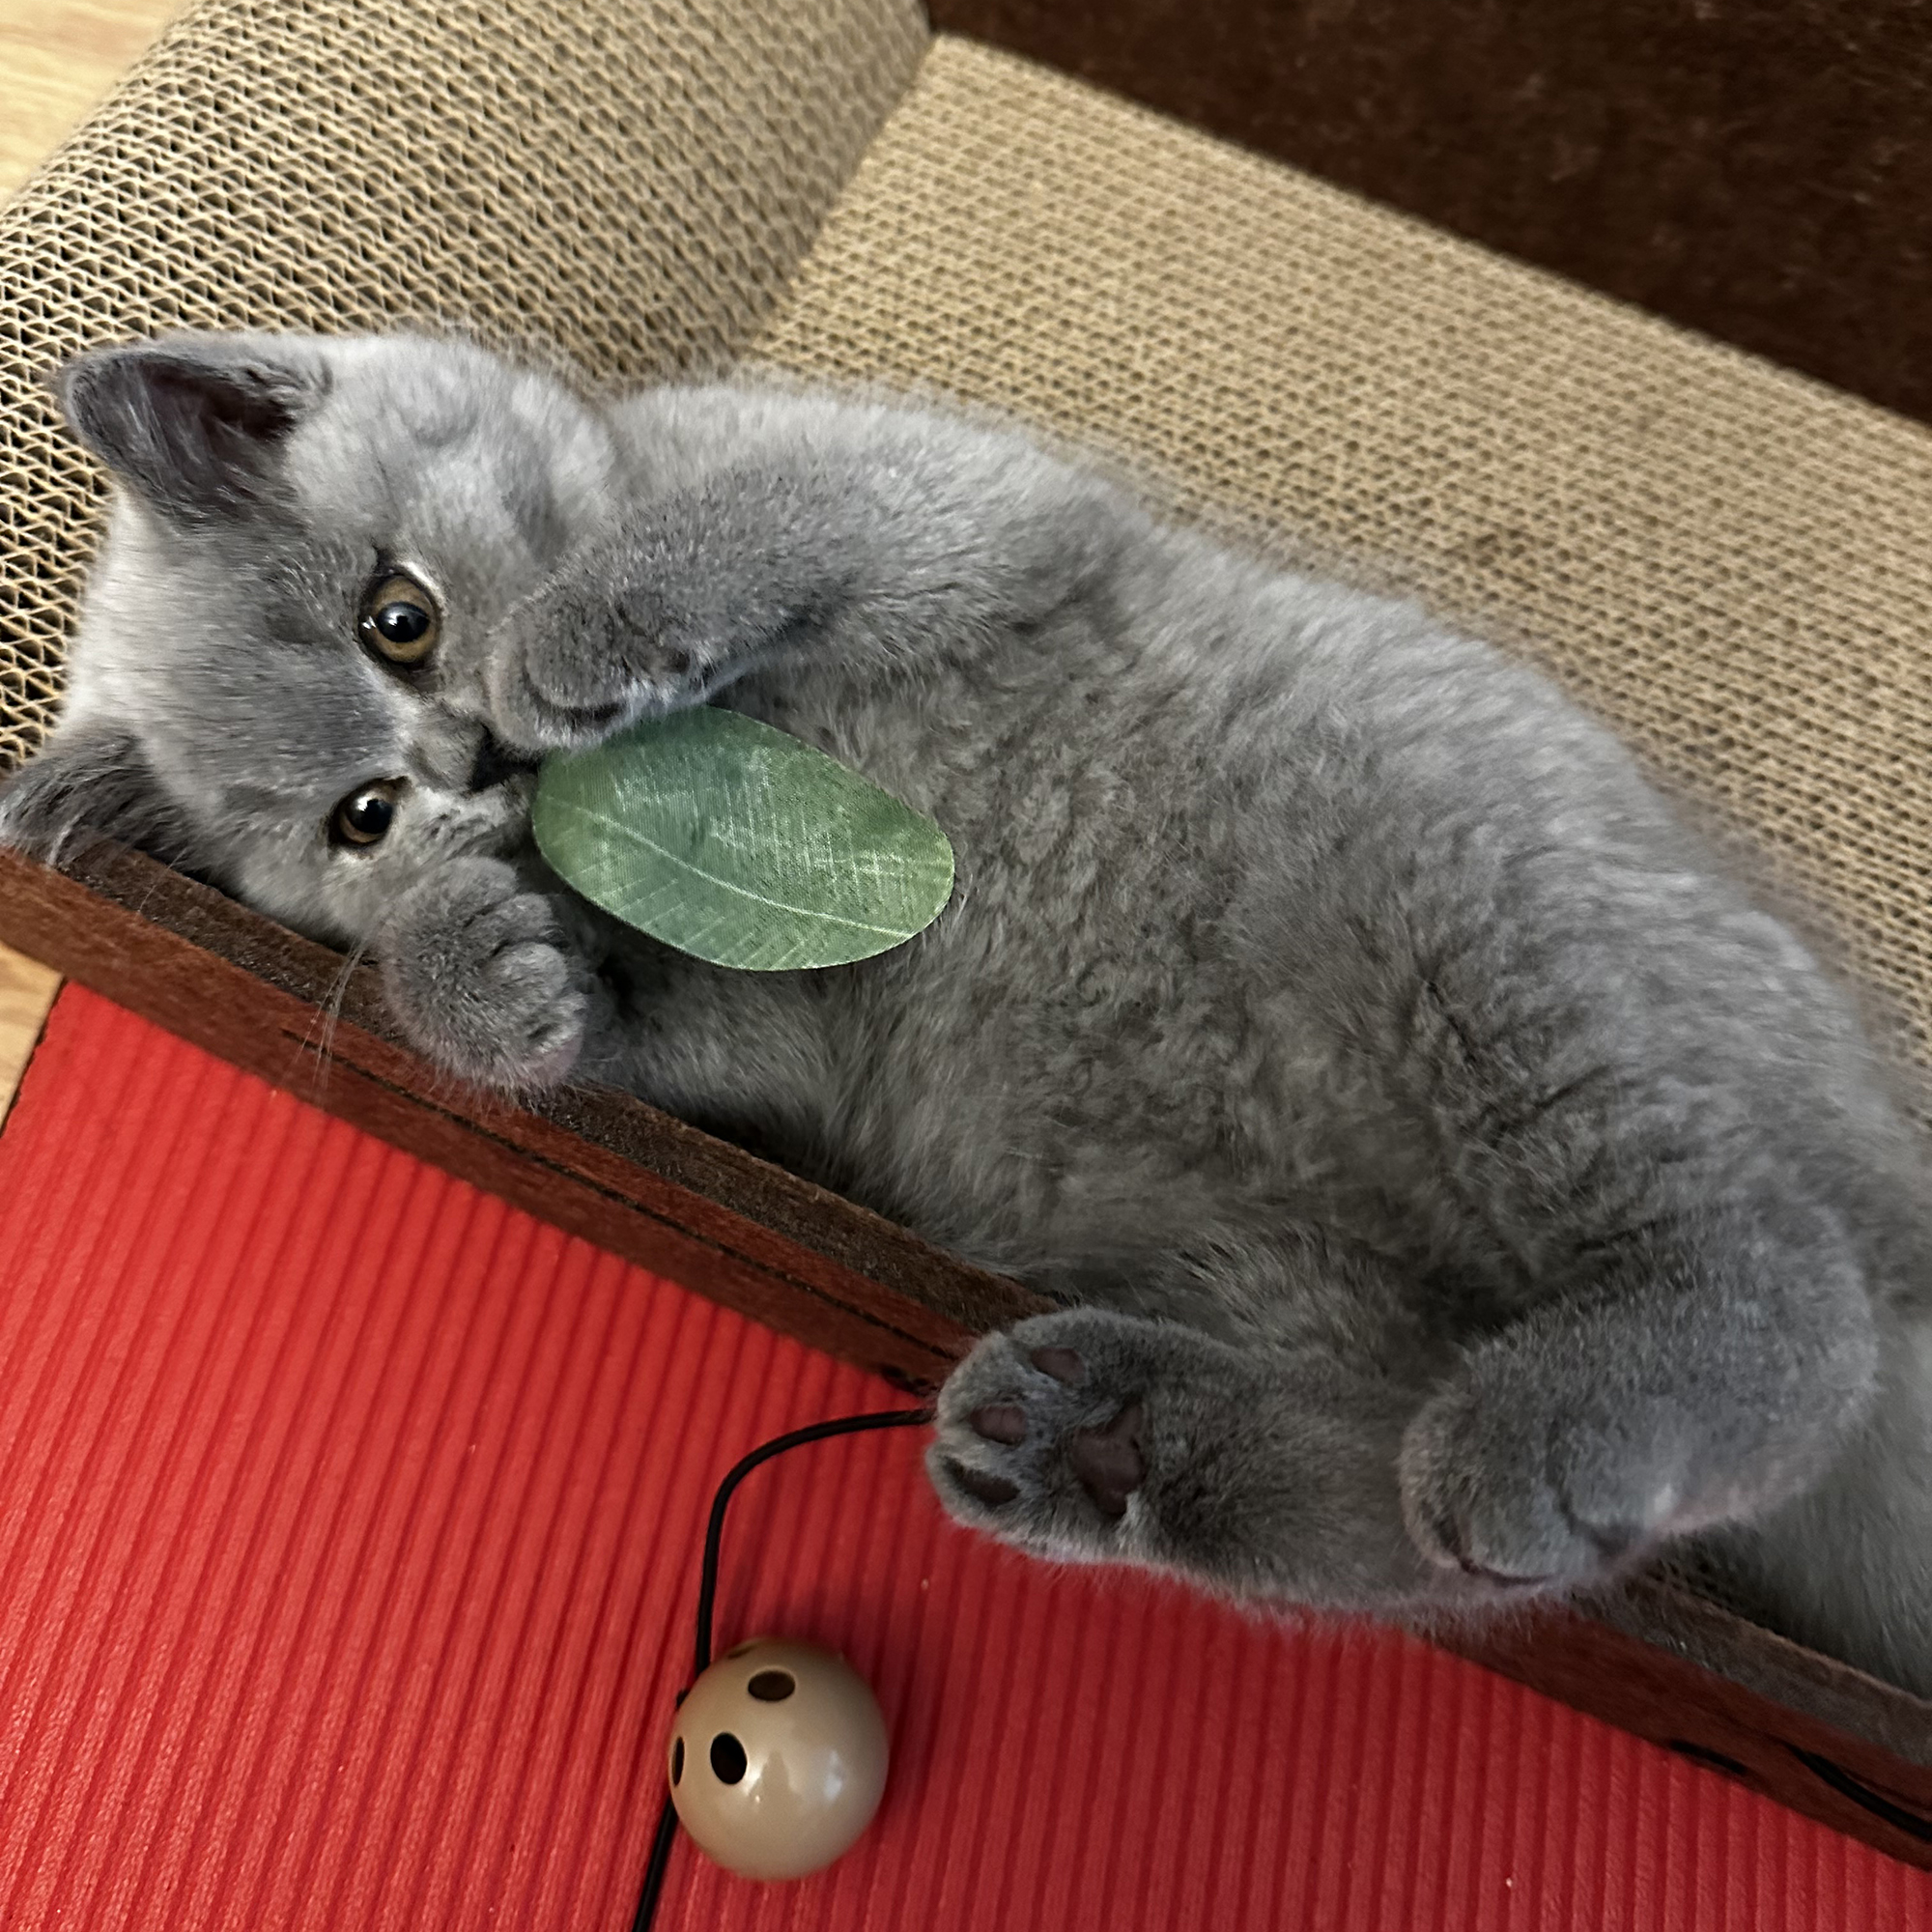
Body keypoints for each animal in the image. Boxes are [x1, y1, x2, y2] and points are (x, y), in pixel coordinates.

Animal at [11, 332, 1932, 1692]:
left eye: (397, 618)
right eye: (358, 820)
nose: (470, 758)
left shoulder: (951, 501)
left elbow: (777, 518)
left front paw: (585, 628)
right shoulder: (766, 1044)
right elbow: (620, 1026)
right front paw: (468, 954)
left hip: (1472, 891)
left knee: (1781, 1286)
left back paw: (1541, 1423)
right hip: (1289, 1266)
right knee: (1430, 1532)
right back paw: (1103, 1437)